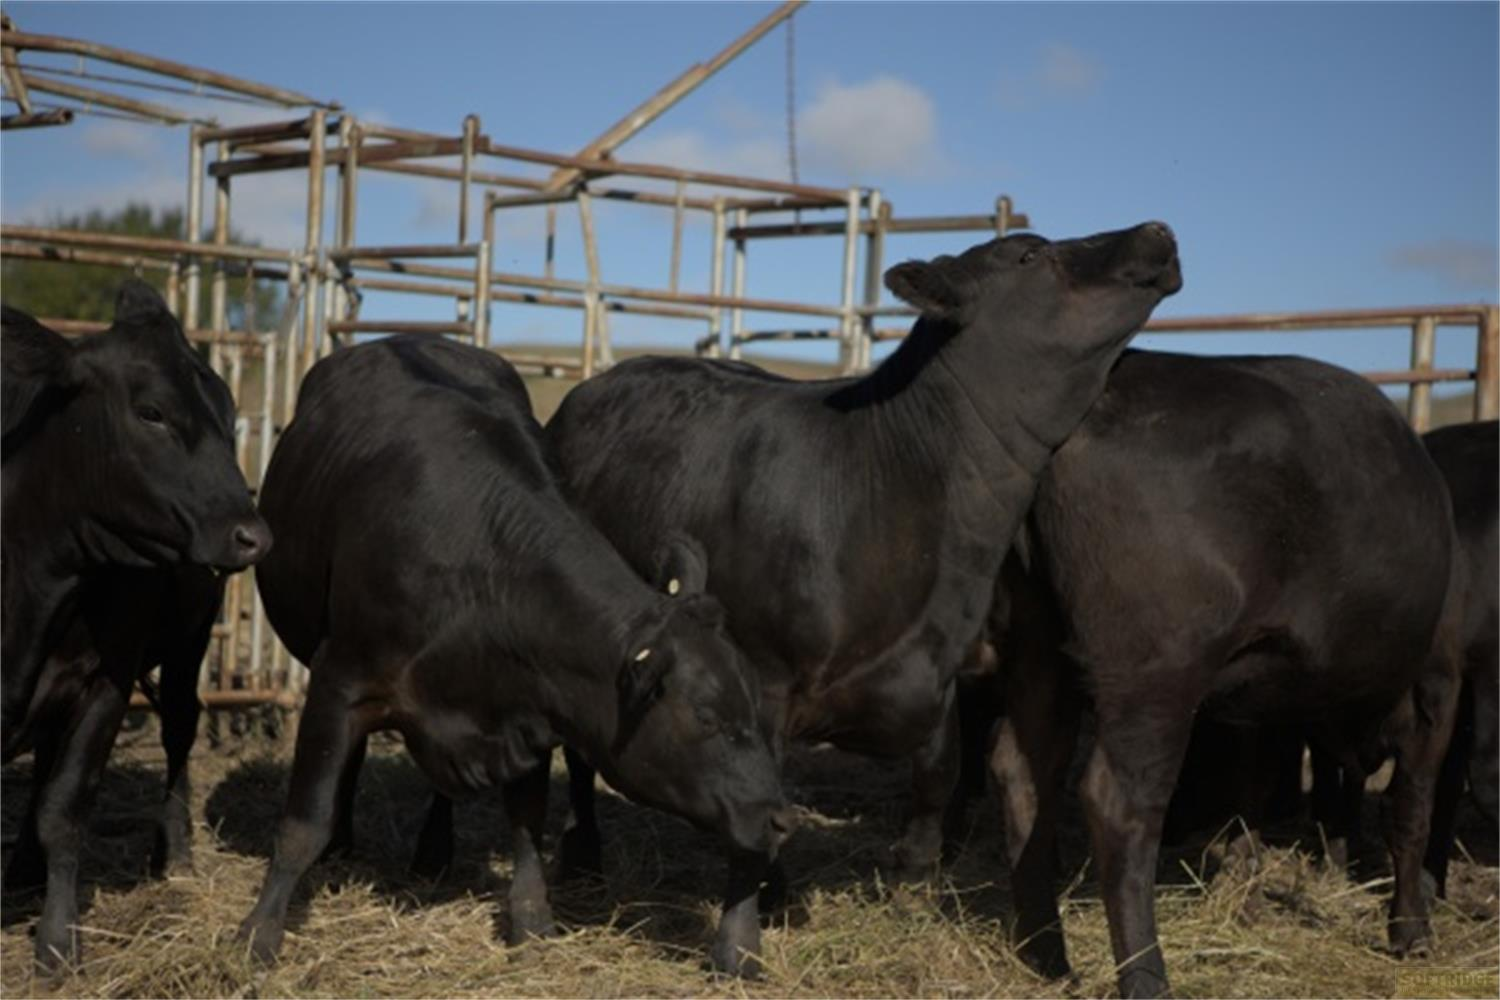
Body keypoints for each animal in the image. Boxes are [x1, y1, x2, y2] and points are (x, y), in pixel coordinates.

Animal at [1, 285, 269, 970]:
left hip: (189, 645)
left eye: (227, 416)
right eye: (151, 412)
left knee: (177, 731)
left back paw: (173, 852)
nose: (252, 533)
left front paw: (57, 943)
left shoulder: (106, 684)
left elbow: (65, 809)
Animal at [236, 335, 795, 973]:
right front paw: (259, 933)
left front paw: (532, 921)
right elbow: (305, 820)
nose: (781, 819)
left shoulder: (527, 713)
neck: (477, 573)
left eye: (753, 708)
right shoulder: (339, 680)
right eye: (707, 716)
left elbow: (526, 821)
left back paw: (433, 852)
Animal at [538, 223, 1182, 974]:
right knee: (582, 757)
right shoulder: (763, 679)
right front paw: (761, 912)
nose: (1157, 231)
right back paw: (584, 854)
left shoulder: (935, 669)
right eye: (1029, 254)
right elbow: (757, 797)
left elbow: (939, 773)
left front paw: (913, 876)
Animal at [974, 350, 1459, 997]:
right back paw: (1146, 976)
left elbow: (1252, 795)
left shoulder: (1265, 705)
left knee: (1024, 774)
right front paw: (1411, 931)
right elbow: (1411, 811)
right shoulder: (1436, 686)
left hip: (1039, 647)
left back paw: (1047, 957)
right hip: (1156, 675)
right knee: (1119, 805)